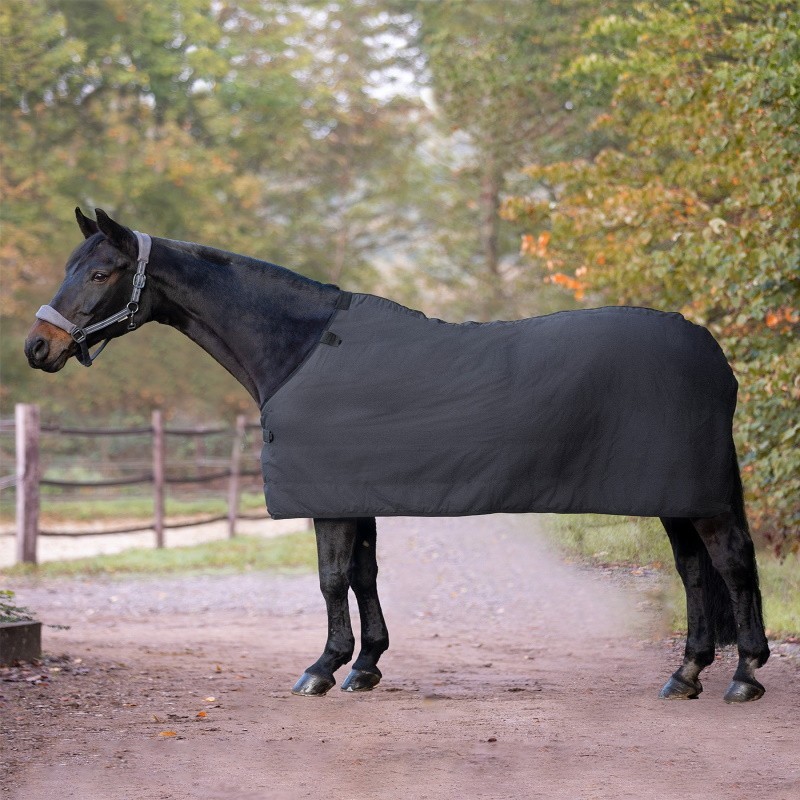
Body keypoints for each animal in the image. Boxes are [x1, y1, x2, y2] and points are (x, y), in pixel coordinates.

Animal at [23, 209, 768, 704]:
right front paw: (366, 666)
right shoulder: (353, 493)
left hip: (693, 494)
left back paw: (744, 677)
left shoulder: (327, 498)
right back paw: (687, 674)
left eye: (101, 271)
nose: (37, 348)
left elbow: (331, 579)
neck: (299, 349)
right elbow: (364, 575)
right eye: (68, 267)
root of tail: (713, 353)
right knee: (695, 572)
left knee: (729, 563)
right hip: (675, 495)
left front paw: (322, 668)